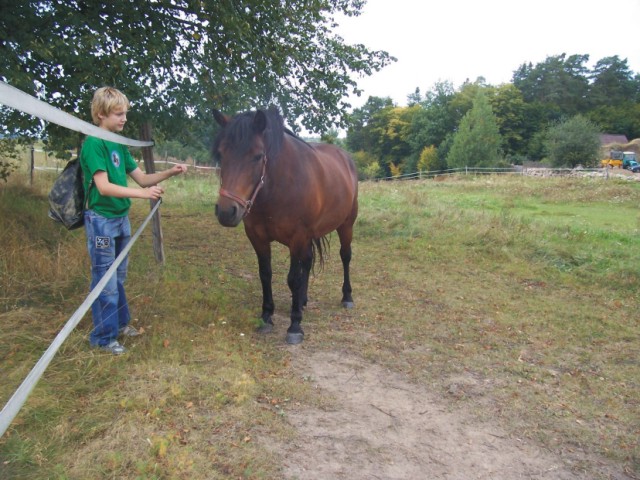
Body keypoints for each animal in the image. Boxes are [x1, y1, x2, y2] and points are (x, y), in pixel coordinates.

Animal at [212, 107, 358, 344]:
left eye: (258, 156)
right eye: (221, 154)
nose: (226, 212)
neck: (278, 187)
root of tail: (345, 158)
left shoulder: (297, 238)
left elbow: (293, 279)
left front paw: (295, 326)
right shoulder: (258, 238)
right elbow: (266, 274)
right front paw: (266, 317)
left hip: (346, 225)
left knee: (345, 256)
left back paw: (346, 297)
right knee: (308, 262)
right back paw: (303, 300)